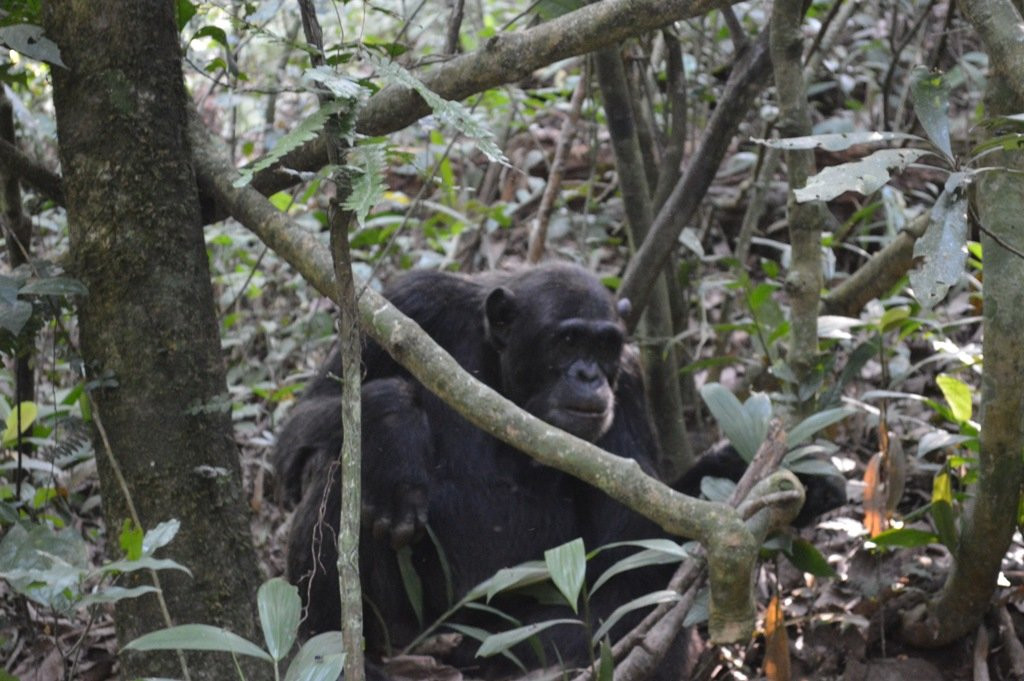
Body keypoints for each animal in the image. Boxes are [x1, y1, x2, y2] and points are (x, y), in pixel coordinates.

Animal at [274, 262, 847, 675]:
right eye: (569, 340)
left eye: (604, 344)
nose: (589, 374)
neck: (504, 375)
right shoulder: (409, 302)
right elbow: (298, 435)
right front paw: (397, 430)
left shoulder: (629, 380)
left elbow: (631, 547)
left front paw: (790, 479)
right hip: (403, 629)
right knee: (339, 474)